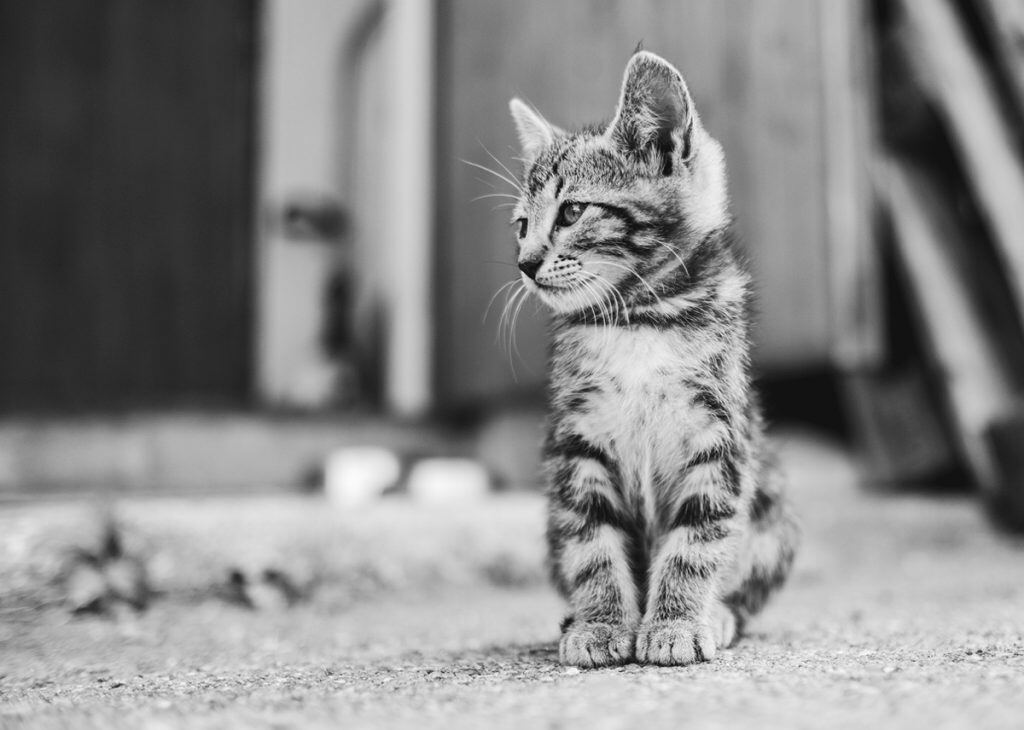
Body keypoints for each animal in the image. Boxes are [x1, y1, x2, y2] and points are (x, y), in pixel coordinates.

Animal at [509, 51, 798, 667]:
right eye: (521, 225)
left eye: (572, 211)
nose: (524, 263)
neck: (639, 318)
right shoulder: (576, 443)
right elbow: (592, 541)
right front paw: (600, 625)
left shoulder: (717, 436)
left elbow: (698, 538)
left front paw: (675, 623)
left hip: (773, 507)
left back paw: (718, 615)